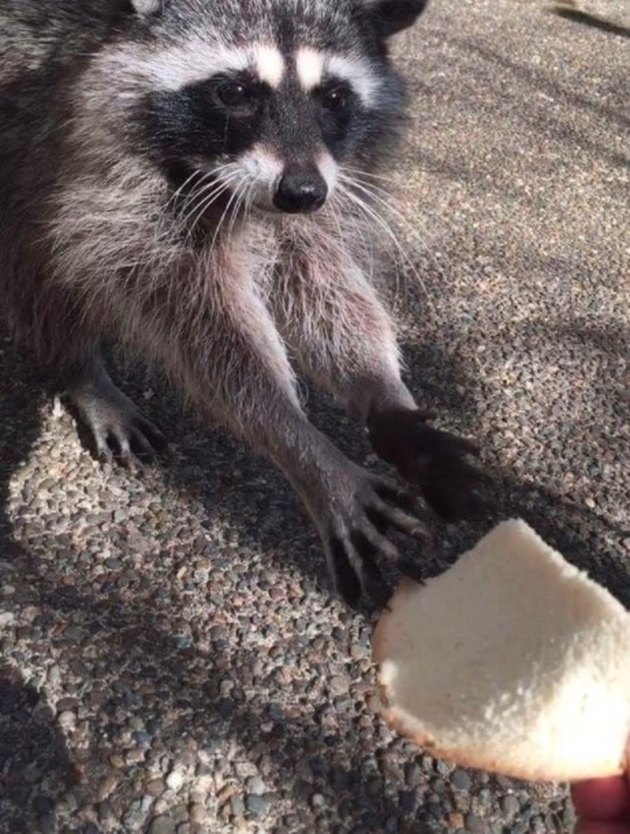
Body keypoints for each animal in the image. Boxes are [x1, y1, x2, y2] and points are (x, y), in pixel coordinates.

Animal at [0, 0, 488, 600]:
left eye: (334, 97)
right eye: (233, 91)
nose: (300, 192)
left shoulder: (316, 193)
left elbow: (324, 285)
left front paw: (384, 396)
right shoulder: (101, 175)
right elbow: (211, 336)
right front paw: (300, 445)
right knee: (34, 266)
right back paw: (78, 368)